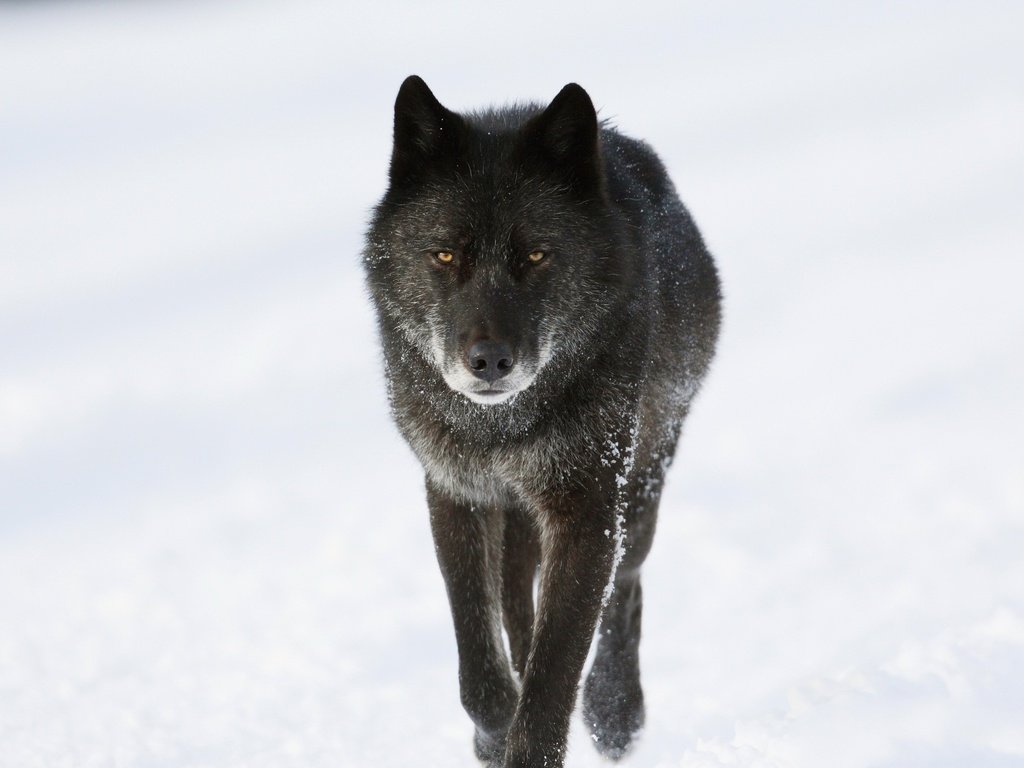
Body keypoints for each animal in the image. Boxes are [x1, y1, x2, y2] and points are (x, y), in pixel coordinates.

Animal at [364, 75, 724, 765]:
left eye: (535, 255)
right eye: (443, 254)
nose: (488, 361)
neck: (501, 430)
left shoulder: (586, 508)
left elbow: (556, 668)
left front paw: (538, 733)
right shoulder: (457, 492)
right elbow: (480, 659)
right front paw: (493, 731)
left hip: (642, 481)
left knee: (625, 586)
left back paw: (615, 710)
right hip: (521, 518)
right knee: (516, 601)